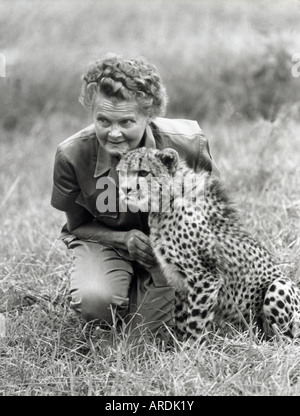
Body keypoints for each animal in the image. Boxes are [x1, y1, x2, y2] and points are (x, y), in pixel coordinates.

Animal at [116, 148, 300, 340]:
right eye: (121, 172)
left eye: (143, 172)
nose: (124, 189)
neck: (168, 200)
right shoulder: (180, 282)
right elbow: (182, 319)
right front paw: (179, 345)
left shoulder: (205, 277)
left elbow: (195, 321)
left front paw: (191, 346)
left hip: (279, 286)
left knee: (287, 338)